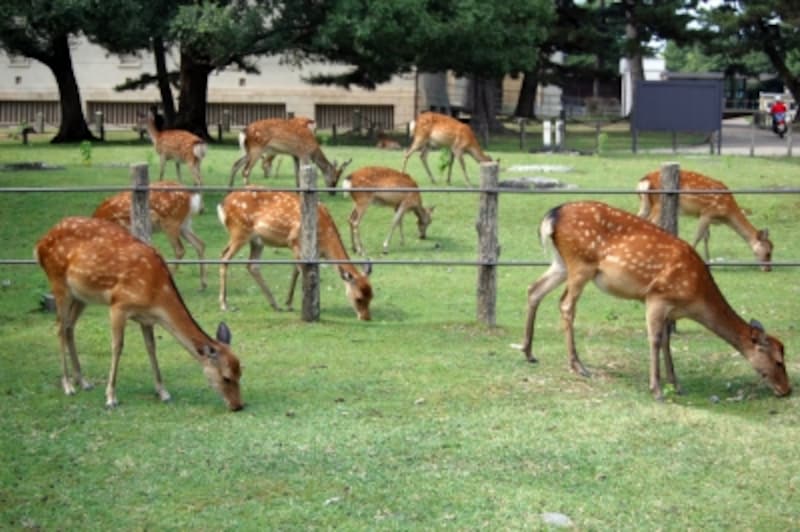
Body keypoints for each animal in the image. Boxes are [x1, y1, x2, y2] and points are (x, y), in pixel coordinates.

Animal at [35, 216, 243, 410]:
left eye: (241, 372)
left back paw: (83, 382)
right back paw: (68, 385)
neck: (156, 293)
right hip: (58, 282)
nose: (238, 405)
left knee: (69, 327)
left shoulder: (147, 318)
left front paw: (163, 392)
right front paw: (111, 397)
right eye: (226, 377)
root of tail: (40, 244)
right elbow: (117, 347)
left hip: (81, 295)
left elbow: (151, 348)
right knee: (59, 327)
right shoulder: (118, 304)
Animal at [217, 188, 373, 320]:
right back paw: (224, 304)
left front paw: (288, 303)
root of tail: (223, 204)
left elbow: (296, 271)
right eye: (358, 298)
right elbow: (300, 270)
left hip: (256, 240)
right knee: (224, 256)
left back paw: (275, 304)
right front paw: (303, 305)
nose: (366, 318)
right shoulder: (294, 241)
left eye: (372, 295)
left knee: (252, 265)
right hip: (239, 231)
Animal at [519, 201, 790, 400]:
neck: (695, 298)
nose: (787, 390)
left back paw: (528, 352)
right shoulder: (656, 296)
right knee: (566, 304)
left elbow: (667, 342)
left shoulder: (671, 309)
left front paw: (677, 384)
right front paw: (657, 389)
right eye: (778, 362)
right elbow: (655, 340)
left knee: (534, 289)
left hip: (561, 263)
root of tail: (552, 215)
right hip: (580, 263)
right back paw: (578, 366)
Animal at [637, 169, 773, 272]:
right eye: (768, 252)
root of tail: (644, 180)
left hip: (646, 205)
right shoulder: (707, 212)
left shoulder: (707, 216)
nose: (768, 269)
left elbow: (706, 237)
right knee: (651, 223)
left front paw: (709, 262)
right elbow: (698, 236)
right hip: (659, 203)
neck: (726, 213)